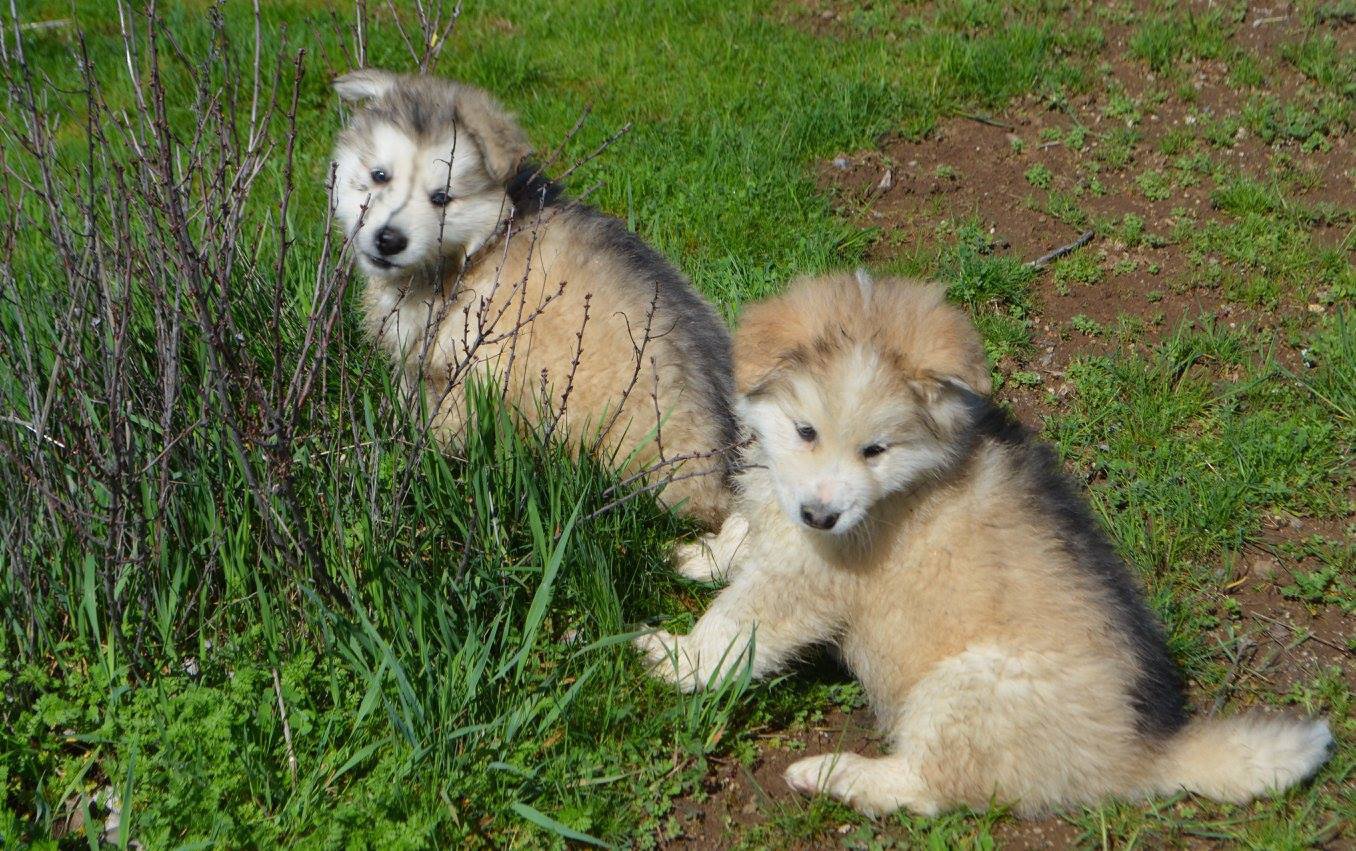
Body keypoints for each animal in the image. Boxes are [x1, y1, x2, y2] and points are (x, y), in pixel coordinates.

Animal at [332, 71, 737, 525]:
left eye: (441, 198)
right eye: (379, 175)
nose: (388, 240)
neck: (476, 250)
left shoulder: (472, 369)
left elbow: (438, 432)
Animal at [637, 273, 1334, 818]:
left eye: (875, 450)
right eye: (804, 431)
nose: (821, 515)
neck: (905, 484)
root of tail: (1143, 755)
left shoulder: (804, 580)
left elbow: (733, 624)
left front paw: (672, 658)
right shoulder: (779, 515)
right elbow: (744, 538)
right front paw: (699, 558)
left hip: (960, 691)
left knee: (926, 789)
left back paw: (834, 773)